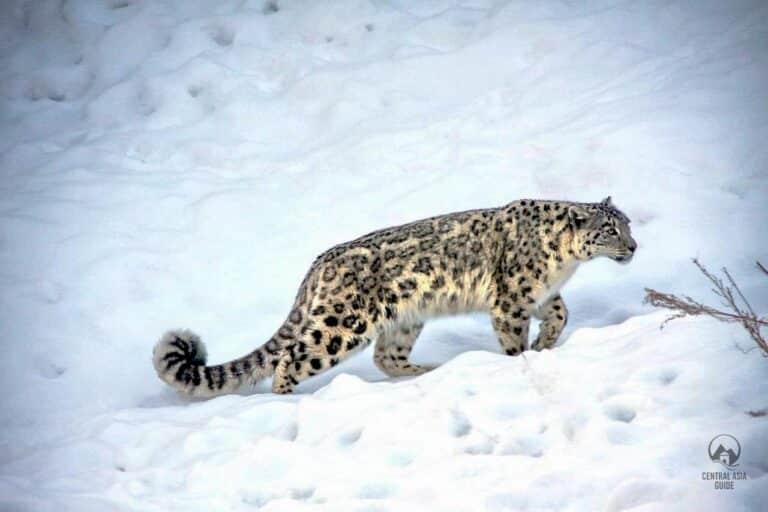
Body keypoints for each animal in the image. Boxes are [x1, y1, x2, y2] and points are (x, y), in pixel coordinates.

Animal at [153, 196, 636, 397]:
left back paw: (429, 370)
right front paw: (524, 358)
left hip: (404, 319)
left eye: (628, 223)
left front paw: (547, 342)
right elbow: (514, 339)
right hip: (341, 326)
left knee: (387, 357)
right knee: (293, 357)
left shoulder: (543, 295)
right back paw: (289, 399)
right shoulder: (511, 300)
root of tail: (318, 264)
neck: (564, 265)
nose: (633, 247)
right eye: (610, 230)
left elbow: (561, 314)